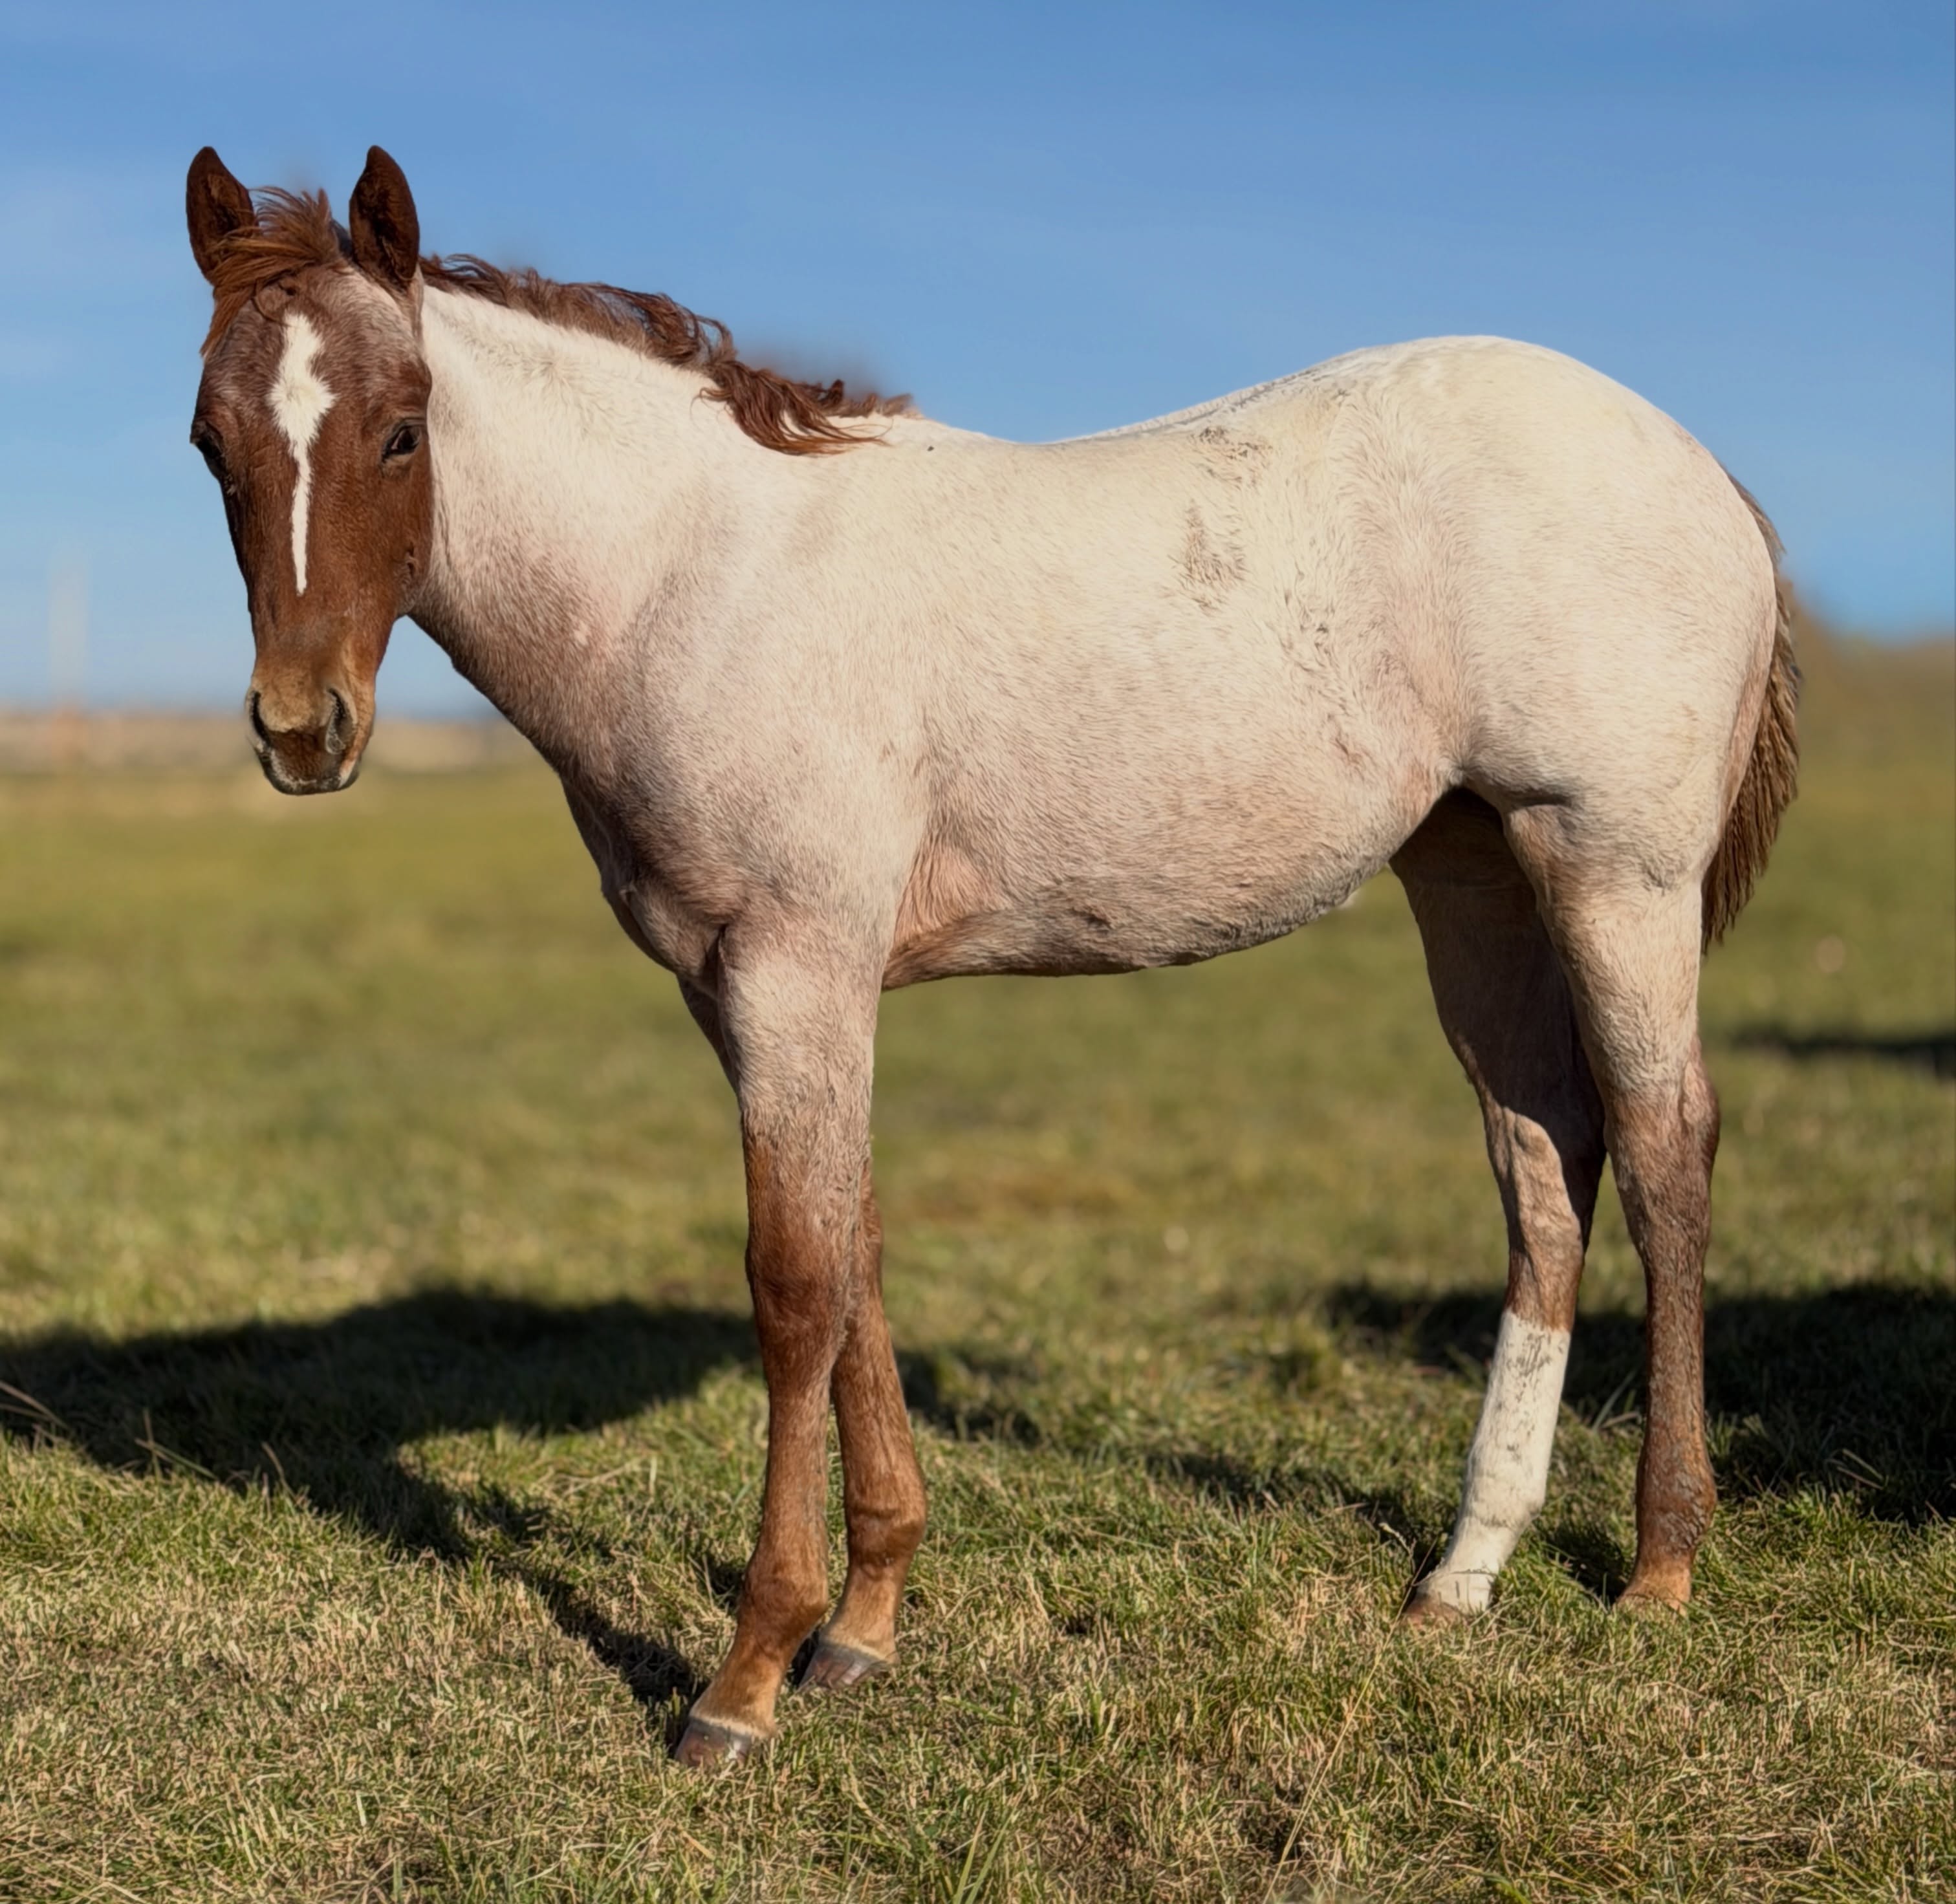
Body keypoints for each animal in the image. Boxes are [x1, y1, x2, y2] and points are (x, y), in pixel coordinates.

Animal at [183, 144, 1797, 1767]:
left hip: (1613, 872)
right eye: (211, 441)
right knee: (1543, 1159)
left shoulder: (794, 970)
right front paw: (864, 1621)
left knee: (1664, 1145)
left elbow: (794, 1285)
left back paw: (1661, 1558)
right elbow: (856, 1252)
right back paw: (1465, 1568)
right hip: (1472, 875)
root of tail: (1695, 463)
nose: (303, 732)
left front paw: (745, 1677)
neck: (693, 578)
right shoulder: (754, 990)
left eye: (401, 430)